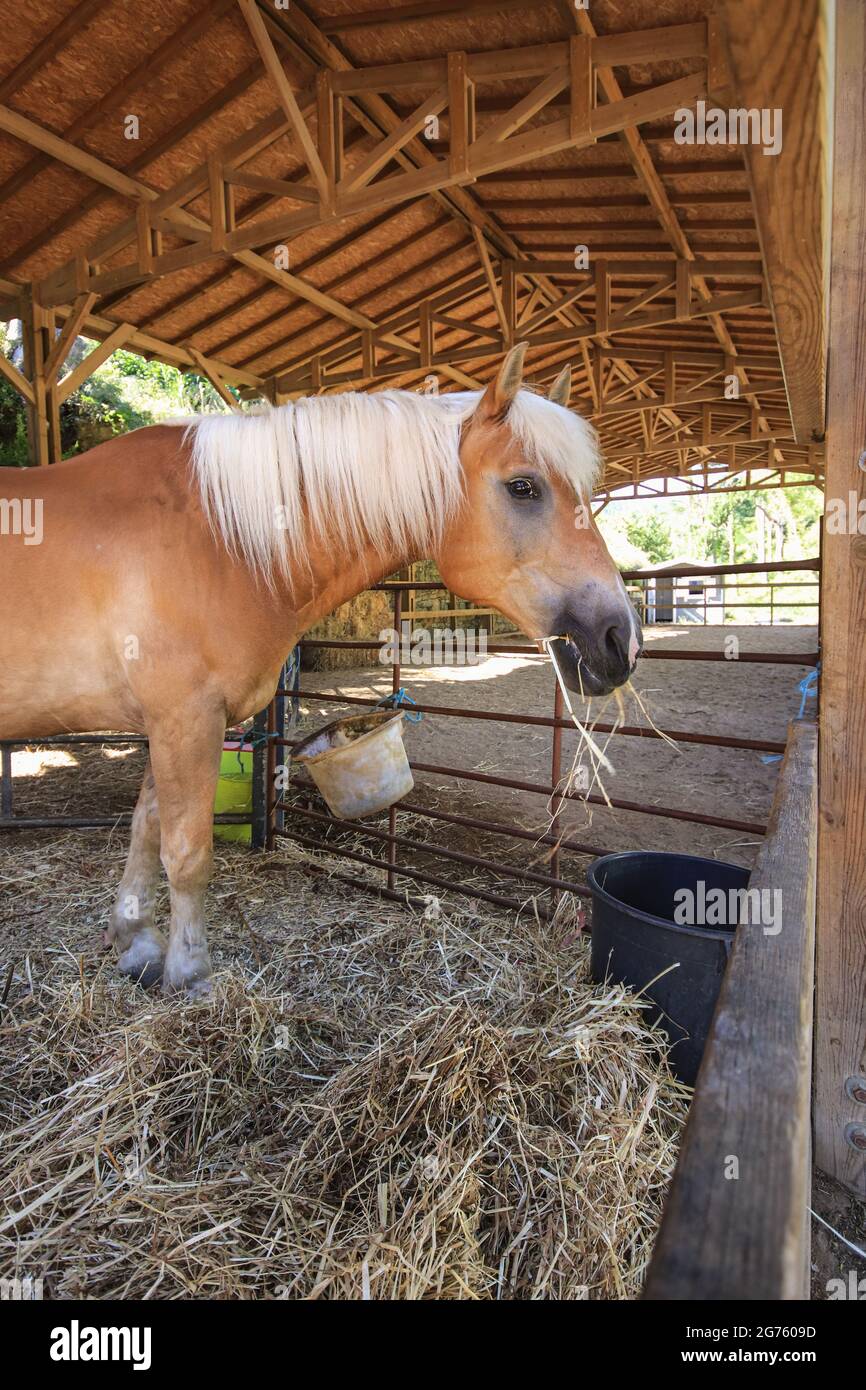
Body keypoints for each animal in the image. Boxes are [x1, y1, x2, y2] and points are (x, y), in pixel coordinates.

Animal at [0, 347, 636, 1000]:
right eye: (523, 486)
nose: (620, 637)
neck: (218, 539)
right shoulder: (185, 720)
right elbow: (188, 852)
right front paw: (191, 975)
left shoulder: (168, 724)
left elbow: (147, 827)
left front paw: (137, 944)